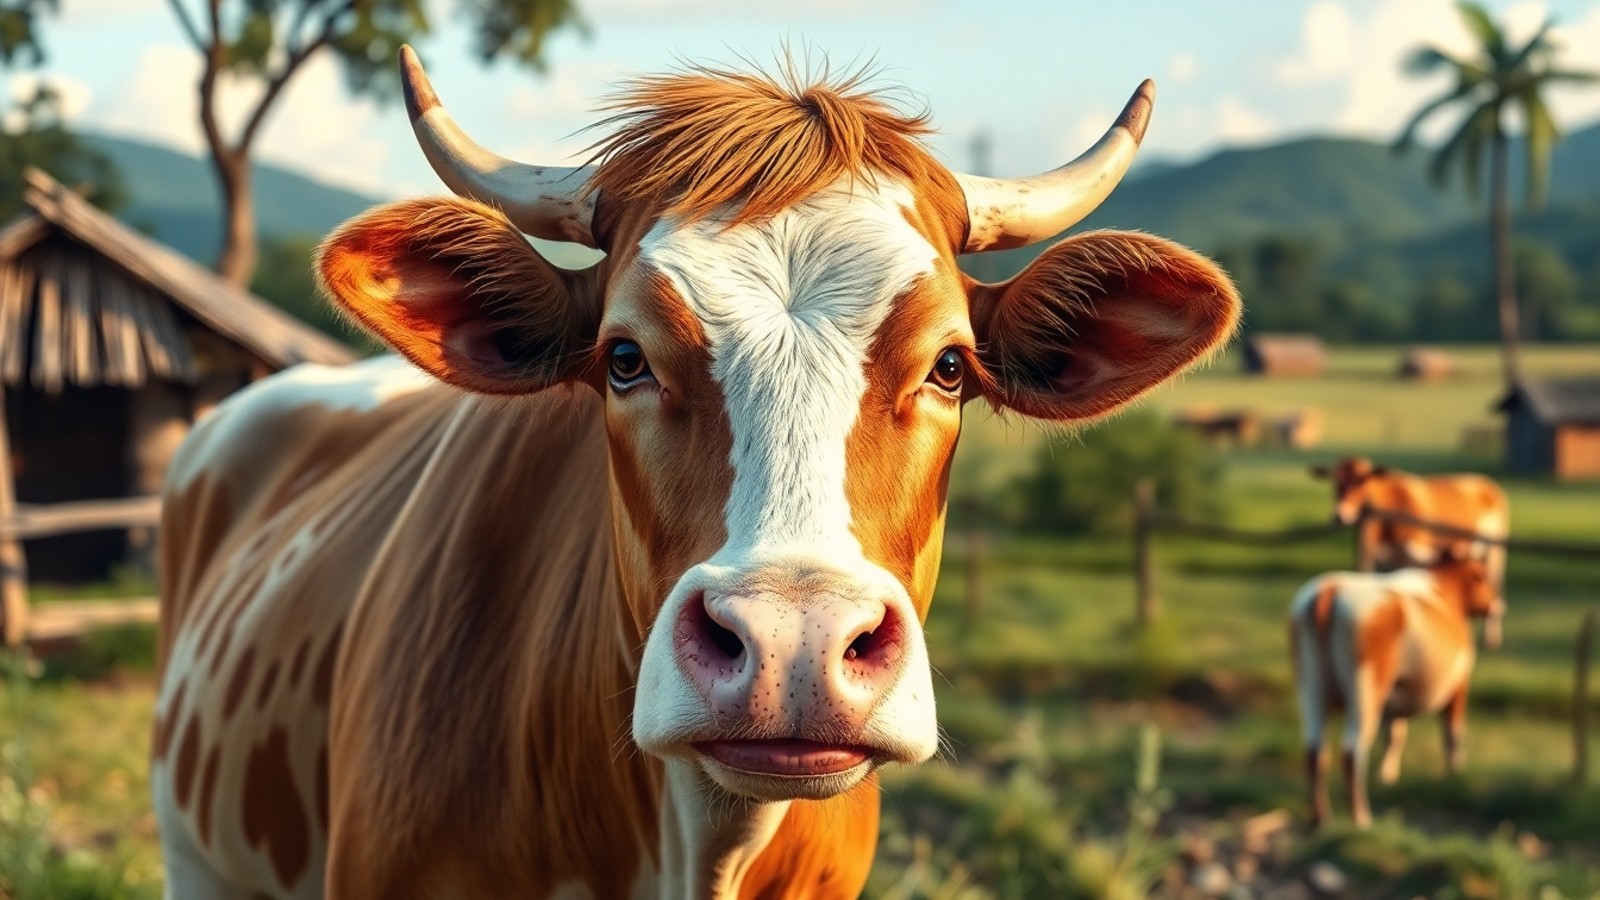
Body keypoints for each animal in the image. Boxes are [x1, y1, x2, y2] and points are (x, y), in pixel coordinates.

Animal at [1288, 548, 1504, 828]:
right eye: (1480, 576)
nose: (1498, 606)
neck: (1443, 588)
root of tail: (1329, 591)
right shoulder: (1459, 685)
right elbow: (1453, 734)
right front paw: (1454, 776)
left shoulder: (1394, 700)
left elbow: (1394, 735)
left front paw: (1386, 778)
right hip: (1365, 690)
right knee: (1351, 753)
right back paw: (1361, 817)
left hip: (1312, 689)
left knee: (1314, 751)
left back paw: (1321, 818)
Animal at [1312, 456, 1509, 645]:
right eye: (1335, 481)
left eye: (1361, 481)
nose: (1339, 515)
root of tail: (1485, 482)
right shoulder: (1384, 561)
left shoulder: (1418, 556)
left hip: (1494, 553)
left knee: (1495, 584)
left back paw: (1491, 639)